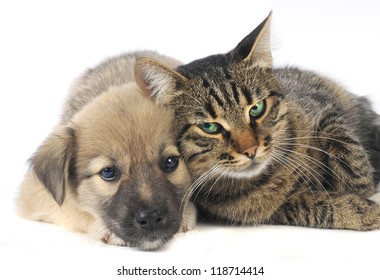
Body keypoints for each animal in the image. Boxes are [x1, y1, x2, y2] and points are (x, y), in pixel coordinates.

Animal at [135, 13, 380, 231]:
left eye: (256, 109)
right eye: (209, 127)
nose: (251, 150)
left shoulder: (323, 106)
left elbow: (347, 149)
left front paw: (359, 186)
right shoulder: (274, 209)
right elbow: (314, 207)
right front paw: (364, 209)